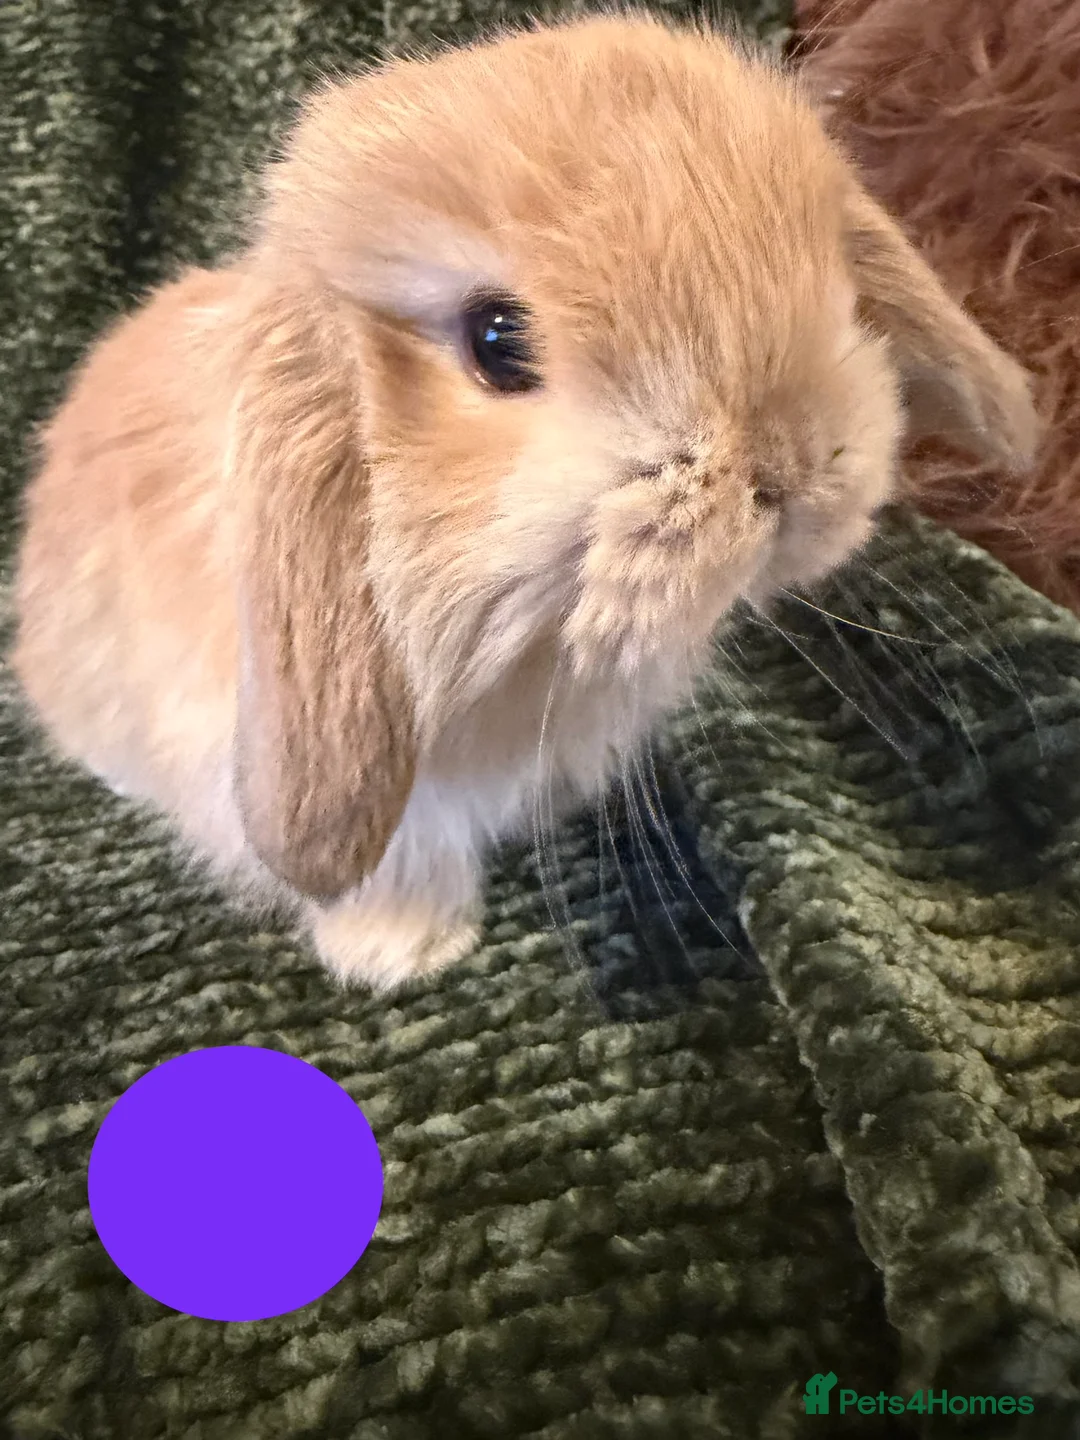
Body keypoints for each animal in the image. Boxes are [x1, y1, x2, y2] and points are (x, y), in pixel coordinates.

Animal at [11, 13, 1039, 990]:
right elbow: (395, 861)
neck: (528, 648)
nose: (789, 468)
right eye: (498, 341)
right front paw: (403, 954)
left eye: (832, 275)